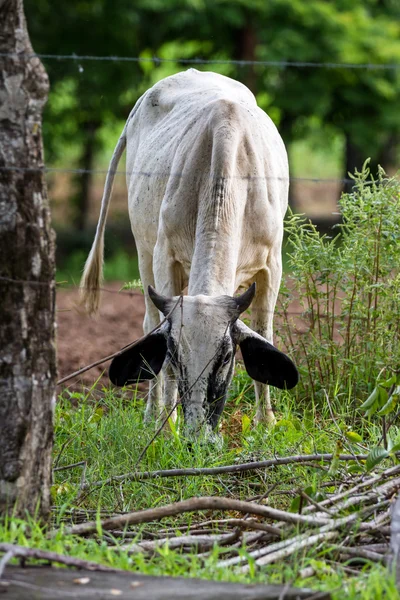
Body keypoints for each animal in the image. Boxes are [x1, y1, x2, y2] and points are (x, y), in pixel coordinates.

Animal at [81, 70, 298, 436]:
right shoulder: (163, 256)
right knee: (148, 322)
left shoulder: (272, 264)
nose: (198, 436)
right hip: (143, 250)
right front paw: (165, 429)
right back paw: (154, 413)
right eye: (174, 354)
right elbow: (161, 346)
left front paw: (265, 422)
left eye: (225, 357)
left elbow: (265, 331)